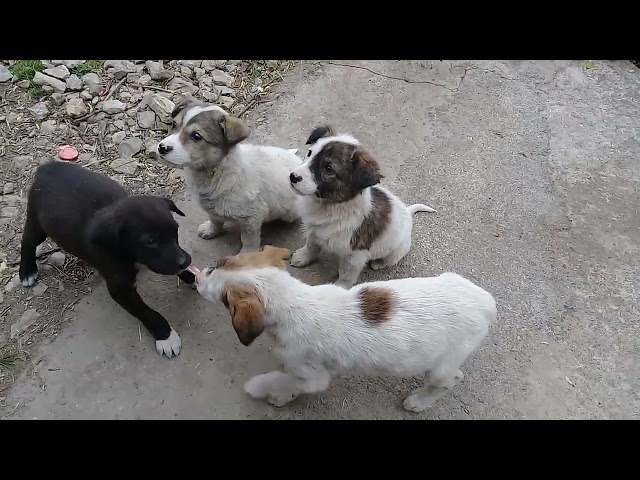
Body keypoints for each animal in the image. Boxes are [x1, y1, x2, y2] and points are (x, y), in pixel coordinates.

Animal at [19, 159, 195, 358]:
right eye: (149, 242)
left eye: (176, 230)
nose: (185, 261)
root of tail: (46, 168)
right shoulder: (120, 289)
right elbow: (145, 311)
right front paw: (165, 336)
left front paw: (194, 277)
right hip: (37, 222)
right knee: (27, 242)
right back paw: (27, 272)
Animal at [157, 98, 302, 255]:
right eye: (175, 124)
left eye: (196, 136)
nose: (162, 147)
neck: (216, 174)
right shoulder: (212, 209)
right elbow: (215, 221)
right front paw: (210, 230)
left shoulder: (251, 219)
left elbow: (249, 241)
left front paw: (246, 254)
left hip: (290, 212)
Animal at [194, 246, 496, 410]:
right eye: (220, 263)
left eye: (225, 300)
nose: (198, 278)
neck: (292, 302)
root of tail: (486, 302)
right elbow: (289, 379)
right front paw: (282, 395)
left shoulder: (314, 377)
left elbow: (283, 379)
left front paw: (263, 389)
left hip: (442, 366)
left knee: (451, 379)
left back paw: (420, 402)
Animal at [288, 125, 436, 286]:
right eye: (310, 153)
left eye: (328, 168)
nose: (293, 177)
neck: (331, 206)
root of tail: (407, 213)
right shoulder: (315, 231)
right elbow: (311, 245)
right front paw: (302, 257)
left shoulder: (354, 255)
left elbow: (346, 275)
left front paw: (339, 288)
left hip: (397, 250)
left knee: (390, 259)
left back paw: (379, 263)